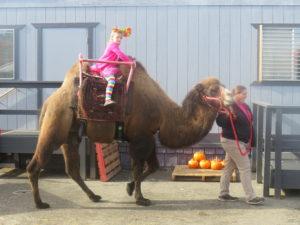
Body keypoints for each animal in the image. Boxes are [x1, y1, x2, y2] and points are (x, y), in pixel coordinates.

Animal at [26, 60, 232, 208]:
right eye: (214, 89)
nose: (231, 97)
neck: (166, 113)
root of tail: (49, 100)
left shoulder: (148, 135)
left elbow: (153, 166)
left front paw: (130, 188)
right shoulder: (140, 136)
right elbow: (138, 168)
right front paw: (141, 199)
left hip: (70, 134)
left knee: (72, 169)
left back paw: (94, 196)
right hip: (55, 124)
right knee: (36, 164)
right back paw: (40, 203)